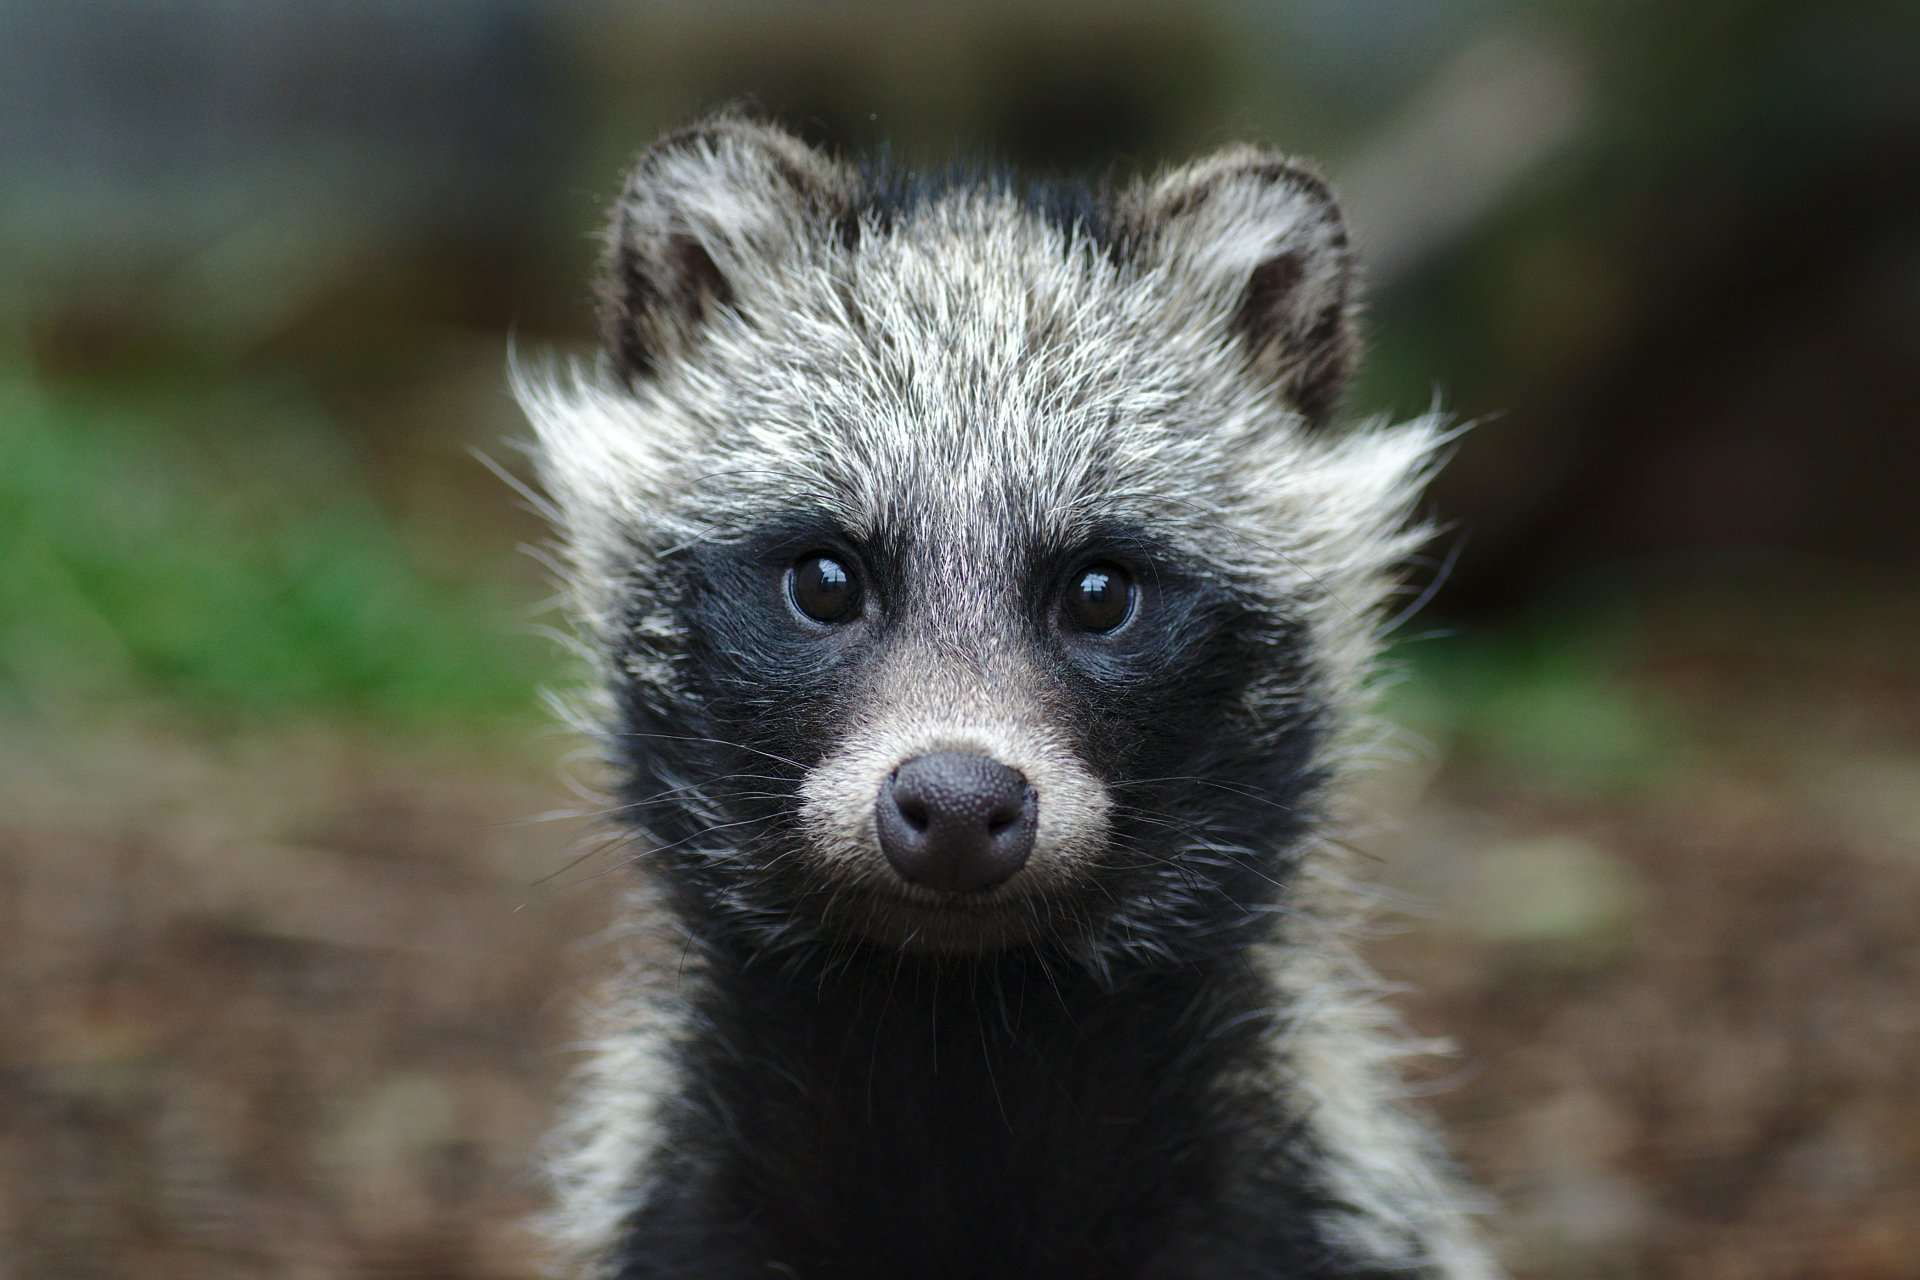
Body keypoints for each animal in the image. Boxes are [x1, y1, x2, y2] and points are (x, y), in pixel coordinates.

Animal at [515, 111, 1497, 1280]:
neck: (958, 1040)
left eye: (1100, 589)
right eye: (825, 578)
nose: (955, 803)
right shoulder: (686, 1208)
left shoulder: (1309, 1205)